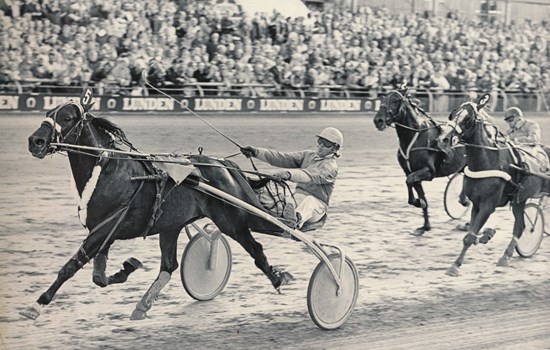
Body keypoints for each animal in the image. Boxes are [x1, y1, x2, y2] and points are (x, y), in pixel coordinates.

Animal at [374, 87, 468, 235]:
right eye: (383, 98)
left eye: (395, 101)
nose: (378, 120)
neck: (415, 136)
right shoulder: (411, 172)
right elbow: (417, 190)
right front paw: (425, 225)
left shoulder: (429, 172)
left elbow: (409, 181)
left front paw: (418, 202)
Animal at [440, 95, 550, 276]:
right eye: (453, 113)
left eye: (468, 118)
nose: (443, 139)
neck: (488, 162)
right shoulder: (476, 204)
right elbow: (471, 234)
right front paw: (487, 234)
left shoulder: (488, 205)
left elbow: (470, 237)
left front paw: (454, 266)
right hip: (519, 200)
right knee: (521, 226)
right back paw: (506, 255)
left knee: (522, 226)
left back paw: (506, 255)